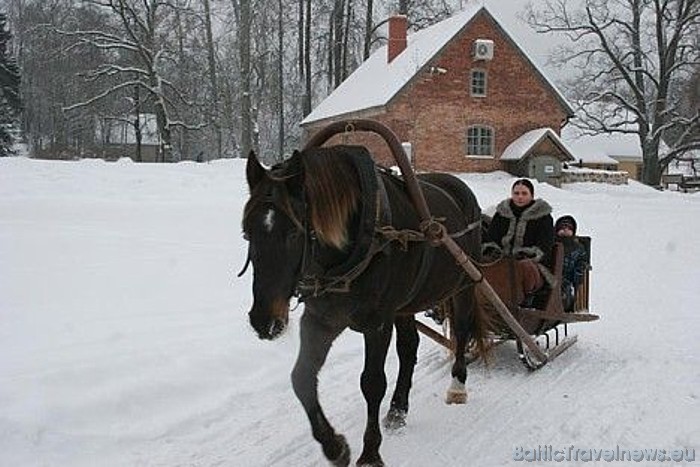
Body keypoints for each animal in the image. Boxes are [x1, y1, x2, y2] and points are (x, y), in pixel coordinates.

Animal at [243, 144, 490, 466]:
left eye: (294, 233)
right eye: (247, 232)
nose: (264, 320)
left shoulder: (378, 323)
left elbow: (372, 383)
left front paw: (370, 452)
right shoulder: (320, 319)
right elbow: (302, 378)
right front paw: (335, 446)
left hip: (463, 285)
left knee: (460, 331)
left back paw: (457, 387)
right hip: (406, 304)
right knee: (409, 347)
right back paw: (398, 410)